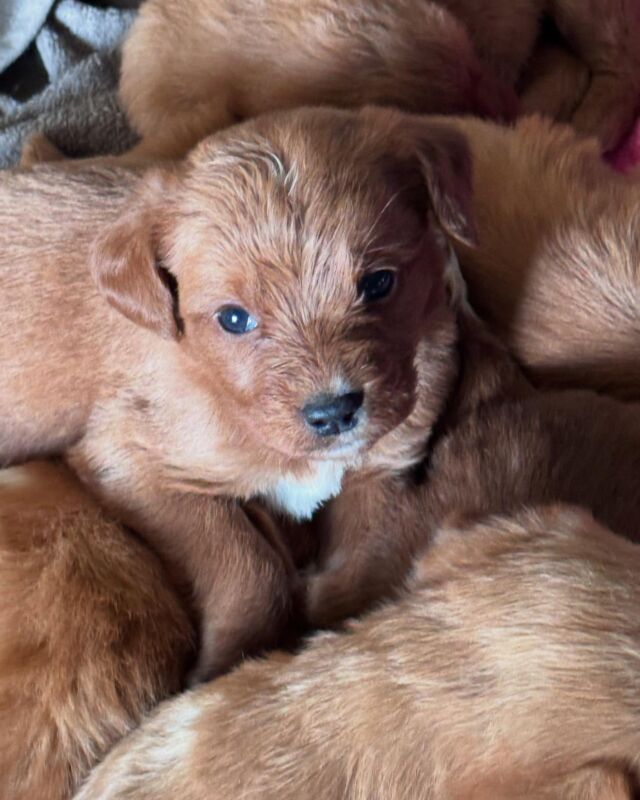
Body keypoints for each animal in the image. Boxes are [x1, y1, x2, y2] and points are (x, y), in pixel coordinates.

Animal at [1, 106, 476, 680]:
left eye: (379, 282)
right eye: (233, 318)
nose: (333, 413)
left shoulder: (382, 469)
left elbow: (360, 566)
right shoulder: (129, 459)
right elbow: (246, 565)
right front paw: (227, 665)